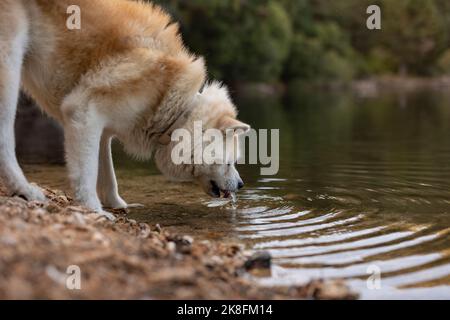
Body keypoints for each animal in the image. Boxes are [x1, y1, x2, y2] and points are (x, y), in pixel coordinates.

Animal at [0, 0, 250, 218]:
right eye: (230, 162)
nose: (241, 184)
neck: (172, 106)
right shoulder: (82, 112)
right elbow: (87, 174)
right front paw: (95, 211)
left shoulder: (99, 128)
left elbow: (108, 176)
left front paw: (119, 206)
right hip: (10, 64)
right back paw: (25, 190)